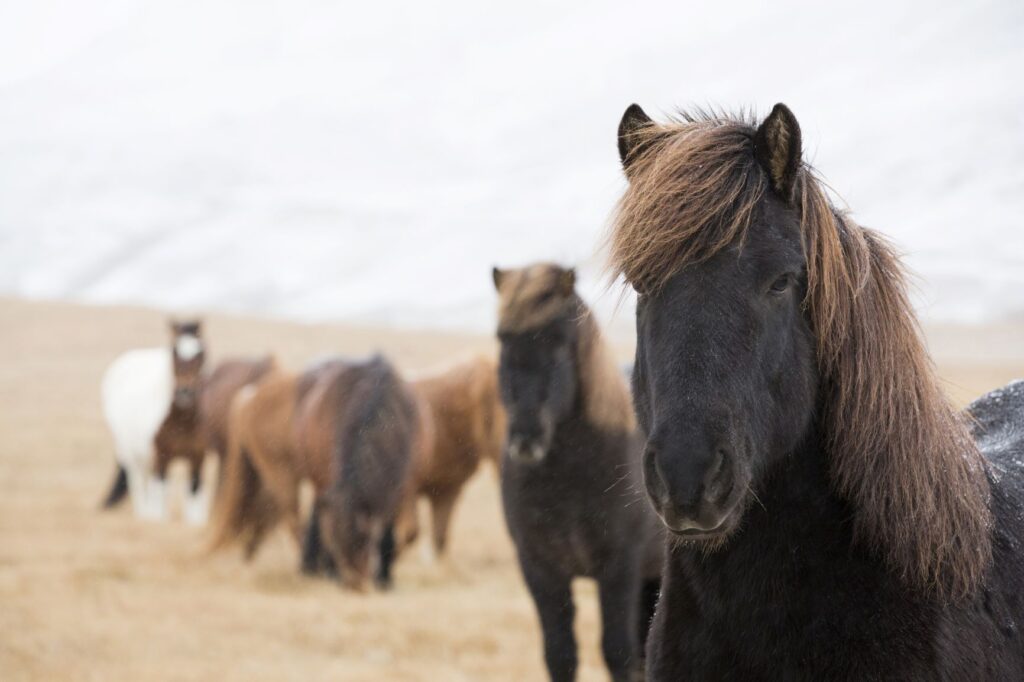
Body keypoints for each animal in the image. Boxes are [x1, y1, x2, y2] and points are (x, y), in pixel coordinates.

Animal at [100, 315, 205, 518]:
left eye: (201, 352)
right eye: (174, 351)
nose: (185, 392)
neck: (182, 421)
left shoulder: (197, 460)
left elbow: (194, 508)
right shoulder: (161, 460)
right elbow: (159, 505)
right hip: (132, 455)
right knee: (138, 487)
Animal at [209, 352, 425, 585]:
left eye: (363, 538)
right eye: (341, 544)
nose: (354, 582)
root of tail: (247, 399)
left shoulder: (400, 483)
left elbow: (397, 526)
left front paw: (385, 576)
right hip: (285, 475)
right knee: (294, 519)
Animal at [493, 261, 663, 679]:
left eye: (558, 342)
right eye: (502, 339)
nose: (526, 436)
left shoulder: (619, 568)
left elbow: (617, 652)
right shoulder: (541, 569)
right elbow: (560, 653)